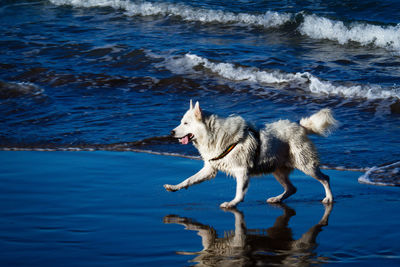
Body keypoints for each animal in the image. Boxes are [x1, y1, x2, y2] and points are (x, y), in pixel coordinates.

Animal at [164, 100, 340, 209]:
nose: (171, 132)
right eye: (181, 122)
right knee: (292, 188)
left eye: (186, 123)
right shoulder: (210, 168)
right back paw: (277, 199)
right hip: (277, 170)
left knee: (325, 178)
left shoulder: (242, 170)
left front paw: (232, 203)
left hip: (305, 164)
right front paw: (174, 187)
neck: (213, 134)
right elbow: (189, 179)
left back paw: (329, 198)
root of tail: (301, 126)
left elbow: (239, 192)